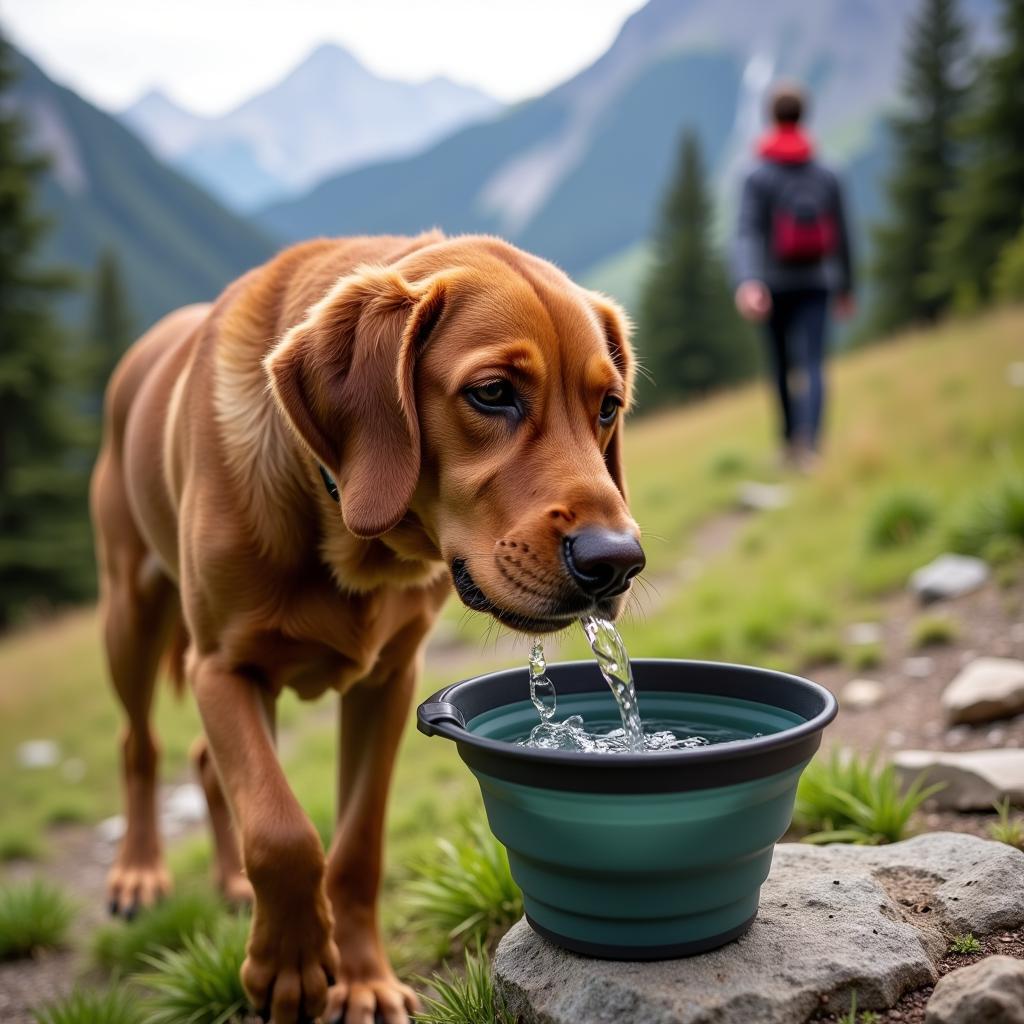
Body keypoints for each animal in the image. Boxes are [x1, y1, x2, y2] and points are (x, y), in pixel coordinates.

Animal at [92, 234, 643, 1024]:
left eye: (608, 406)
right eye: (492, 393)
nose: (619, 562)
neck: (348, 528)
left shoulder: (387, 681)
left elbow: (355, 846)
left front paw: (360, 979)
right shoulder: (222, 667)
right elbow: (282, 831)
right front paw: (288, 965)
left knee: (201, 760)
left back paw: (231, 885)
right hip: (129, 615)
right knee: (139, 745)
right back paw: (139, 874)